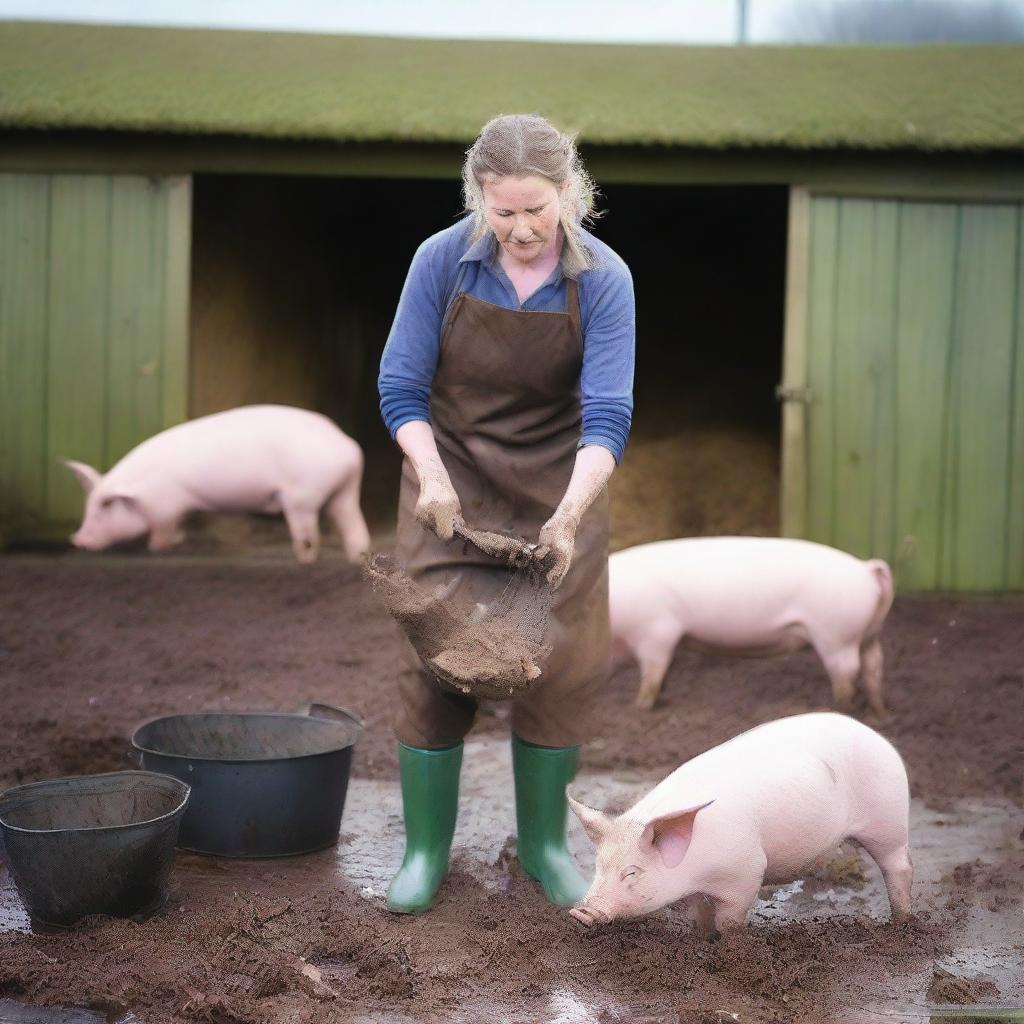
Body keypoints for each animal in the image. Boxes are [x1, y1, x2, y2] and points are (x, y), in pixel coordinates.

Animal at [65, 399, 368, 565]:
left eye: (103, 509)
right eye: (88, 508)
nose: (77, 540)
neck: (142, 489)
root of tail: (347, 446)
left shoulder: (165, 508)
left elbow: (161, 532)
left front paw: (157, 549)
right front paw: (179, 541)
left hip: (302, 496)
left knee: (307, 534)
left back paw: (304, 562)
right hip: (345, 490)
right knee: (353, 524)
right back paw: (356, 559)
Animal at [569, 712, 913, 937]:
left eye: (632, 873)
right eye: (598, 867)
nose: (581, 912)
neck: (696, 870)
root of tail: (877, 737)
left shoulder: (746, 870)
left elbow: (730, 920)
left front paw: (729, 948)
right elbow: (699, 914)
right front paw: (703, 939)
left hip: (890, 820)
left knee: (900, 867)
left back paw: (900, 925)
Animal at [610, 540, 892, 716]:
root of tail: (866, 569)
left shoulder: (655, 631)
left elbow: (651, 675)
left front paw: (638, 708)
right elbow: (662, 674)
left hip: (836, 635)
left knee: (847, 673)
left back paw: (840, 709)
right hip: (869, 633)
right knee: (874, 668)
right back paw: (878, 714)